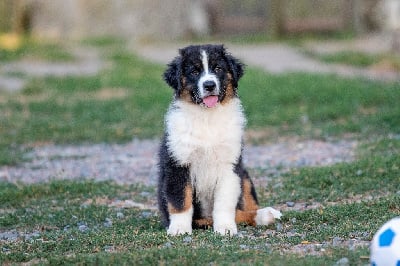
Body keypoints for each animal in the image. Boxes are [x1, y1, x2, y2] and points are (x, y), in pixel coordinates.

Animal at [157, 44, 282, 236]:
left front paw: (225, 227)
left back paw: (263, 215)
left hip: (244, 175)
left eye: (218, 69)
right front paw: (179, 228)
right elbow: (180, 200)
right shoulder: (178, 164)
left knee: (245, 206)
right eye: (194, 71)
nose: (209, 85)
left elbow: (224, 203)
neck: (207, 118)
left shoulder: (229, 165)